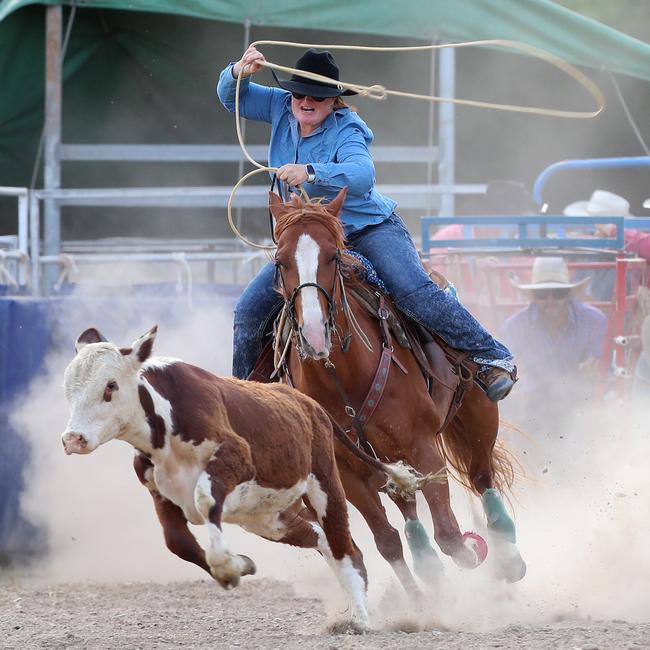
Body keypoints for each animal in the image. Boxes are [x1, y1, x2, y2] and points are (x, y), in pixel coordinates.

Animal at [62, 326, 368, 624]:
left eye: (110, 385)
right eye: (67, 390)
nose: (73, 439)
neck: (164, 421)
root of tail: (310, 404)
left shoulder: (236, 456)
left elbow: (205, 500)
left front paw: (227, 568)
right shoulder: (158, 490)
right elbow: (177, 542)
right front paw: (241, 564)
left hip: (324, 484)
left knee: (342, 544)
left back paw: (359, 616)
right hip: (267, 518)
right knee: (320, 537)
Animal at [270, 187, 528, 588]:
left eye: (333, 256)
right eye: (280, 261)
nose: (313, 335)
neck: (343, 379)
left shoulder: (423, 448)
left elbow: (451, 536)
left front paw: (471, 553)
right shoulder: (346, 472)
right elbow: (387, 541)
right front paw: (423, 597)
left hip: (477, 411)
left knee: (481, 474)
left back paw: (507, 556)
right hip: (383, 460)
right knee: (406, 504)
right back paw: (426, 561)